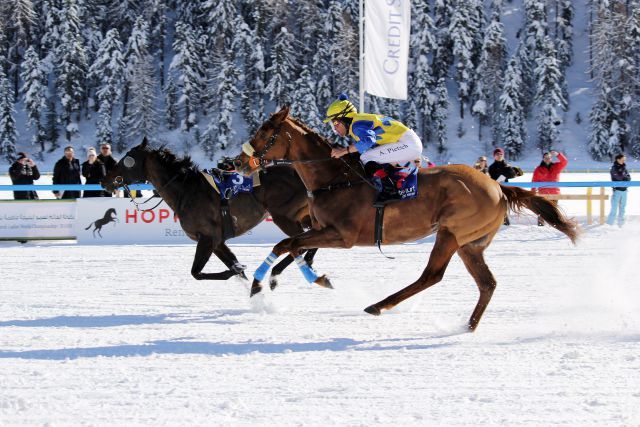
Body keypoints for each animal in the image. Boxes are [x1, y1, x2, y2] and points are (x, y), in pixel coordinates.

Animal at [103, 139, 322, 290]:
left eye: (128, 160)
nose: (106, 179)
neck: (186, 190)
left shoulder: (207, 238)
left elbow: (196, 272)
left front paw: (235, 271)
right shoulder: (217, 241)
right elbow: (234, 267)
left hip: (284, 217)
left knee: (300, 244)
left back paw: (278, 273)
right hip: (304, 216)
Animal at [234, 106, 580, 332]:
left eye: (265, 131)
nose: (237, 162)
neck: (332, 178)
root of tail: (497, 186)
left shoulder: (342, 236)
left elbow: (290, 245)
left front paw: (303, 280)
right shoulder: (320, 229)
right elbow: (288, 246)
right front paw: (265, 284)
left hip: (450, 233)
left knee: (432, 276)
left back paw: (378, 305)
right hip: (470, 244)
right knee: (487, 283)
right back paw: (468, 326)